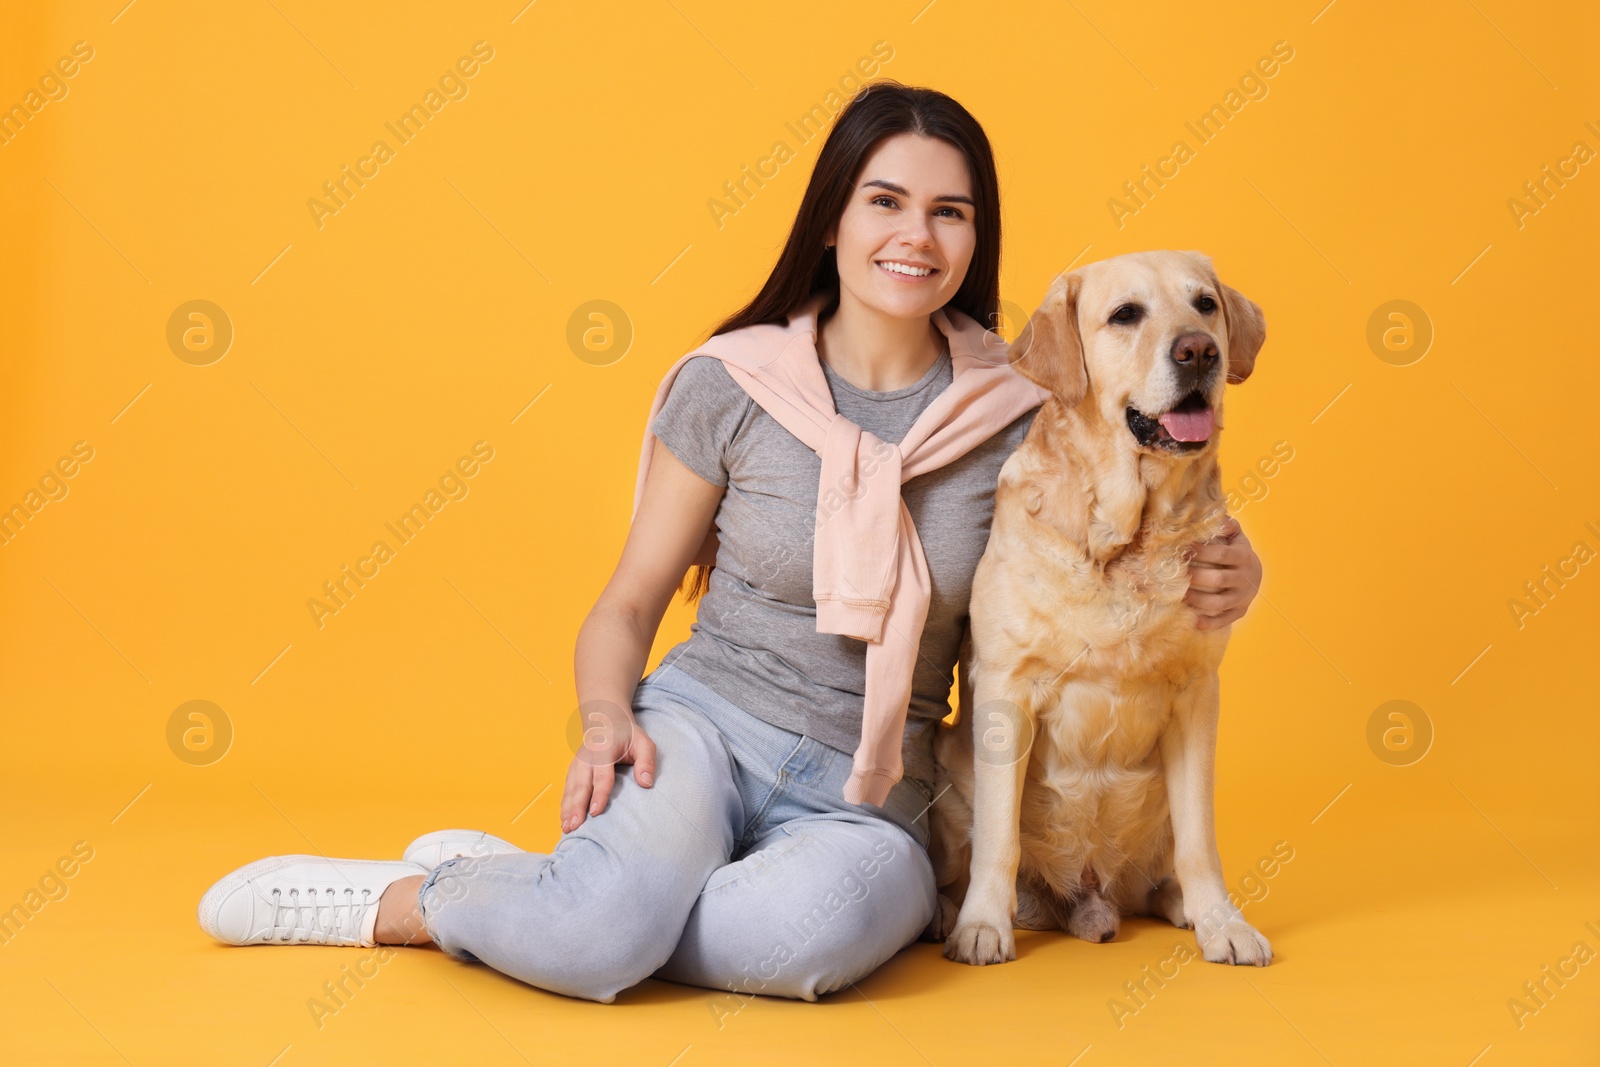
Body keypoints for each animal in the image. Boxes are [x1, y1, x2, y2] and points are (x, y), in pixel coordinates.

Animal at [928, 247, 1273, 966]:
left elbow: (1201, 841)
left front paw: (1222, 922)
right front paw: (982, 925)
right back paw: (948, 914)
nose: (1199, 351)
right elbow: (998, 837)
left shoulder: (1197, 693)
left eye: (1205, 304)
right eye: (1125, 315)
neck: (1127, 534)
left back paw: (1183, 906)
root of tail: (1089, 897)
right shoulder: (1005, 686)